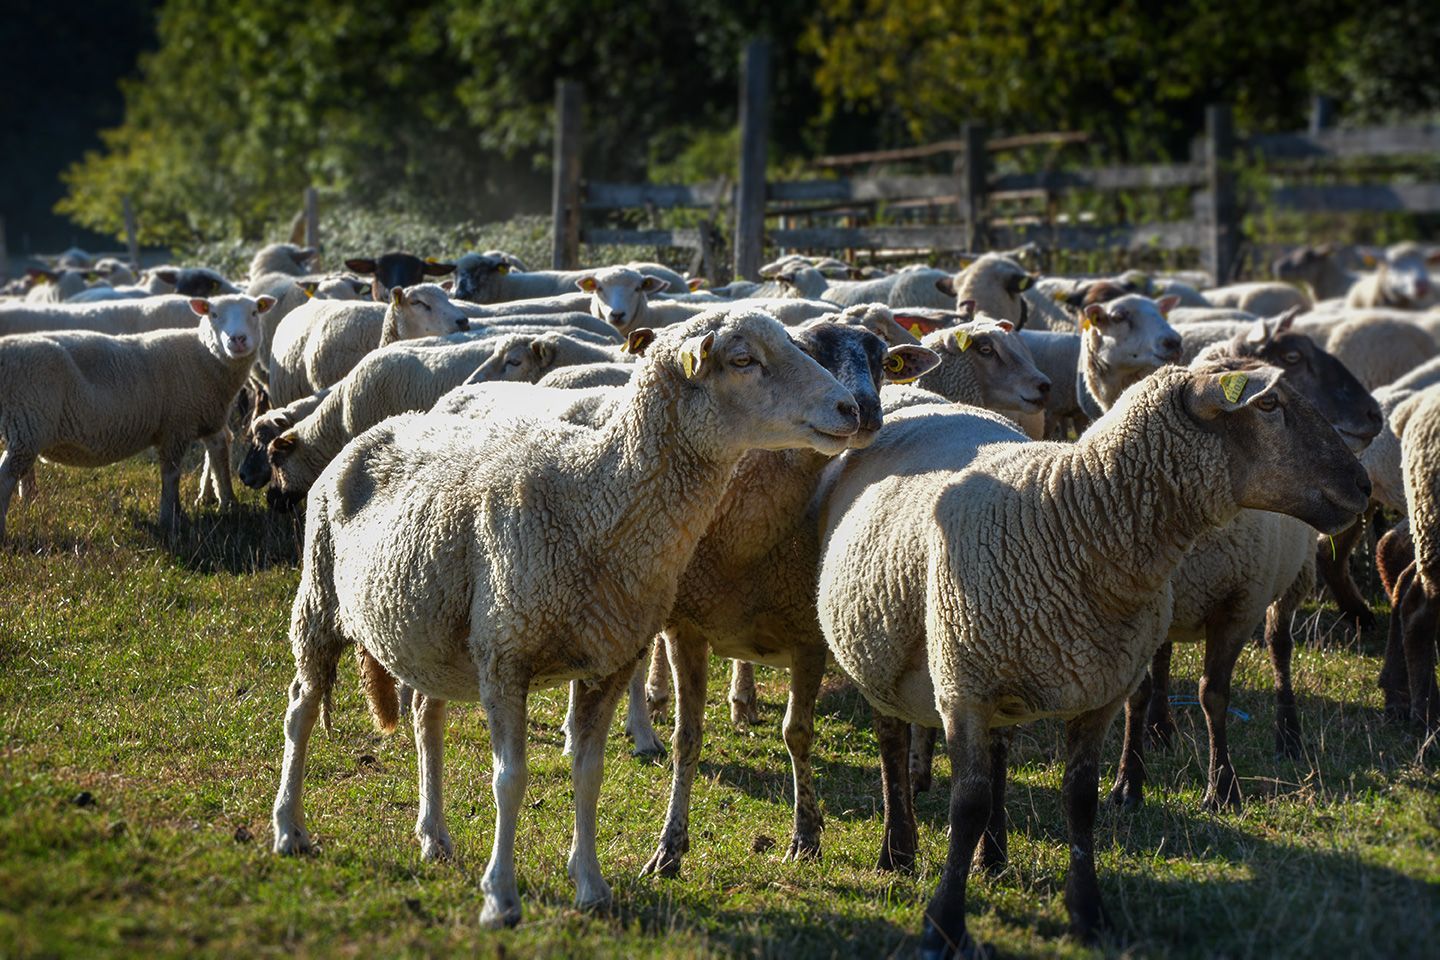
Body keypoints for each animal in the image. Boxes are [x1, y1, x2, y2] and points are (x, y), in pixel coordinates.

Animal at [0, 294, 272, 540]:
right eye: (213, 315)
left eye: (254, 313)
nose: (238, 339)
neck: (202, 356)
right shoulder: (176, 425)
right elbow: (171, 474)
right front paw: (170, 518)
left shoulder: (208, 417)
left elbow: (219, 457)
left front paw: (229, 504)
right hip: (29, 421)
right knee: (7, 474)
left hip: (25, 425)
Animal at [268, 308, 865, 930]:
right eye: (744, 359)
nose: (850, 408)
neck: (592, 496)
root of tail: (379, 428)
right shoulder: (506, 655)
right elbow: (510, 780)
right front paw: (500, 897)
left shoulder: (608, 659)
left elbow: (589, 772)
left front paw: (591, 885)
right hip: (319, 600)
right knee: (300, 710)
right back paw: (289, 829)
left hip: (432, 636)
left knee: (424, 720)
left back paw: (434, 836)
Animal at [813, 360, 1370, 954]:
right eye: (1268, 405)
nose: (1362, 485)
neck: (1074, 519)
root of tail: (913, 396)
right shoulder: (965, 687)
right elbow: (967, 804)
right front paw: (944, 925)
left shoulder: (1100, 692)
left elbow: (1081, 801)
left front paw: (1088, 912)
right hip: (883, 657)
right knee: (891, 743)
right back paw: (898, 849)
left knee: (999, 756)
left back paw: (993, 855)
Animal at [1110, 316, 1382, 812]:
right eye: (1269, 400)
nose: (1363, 483)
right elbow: (1137, 694)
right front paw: (1127, 783)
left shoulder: (1240, 605)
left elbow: (1213, 695)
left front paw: (1222, 787)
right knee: (1164, 658)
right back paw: (1161, 728)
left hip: (1293, 580)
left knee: (1279, 648)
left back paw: (1288, 735)